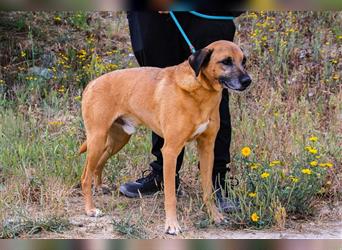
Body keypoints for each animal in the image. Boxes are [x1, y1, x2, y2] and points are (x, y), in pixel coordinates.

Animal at [79, 40, 251, 234]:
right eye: (226, 61)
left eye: (243, 61)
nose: (248, 81)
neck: (199, 91)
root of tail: (92, 83)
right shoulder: (170, 151)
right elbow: (170, 195)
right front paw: (172, 225)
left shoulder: (207, 148)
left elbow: (208, 191)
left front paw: (215, 216)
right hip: (97, 139)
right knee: (85, 176)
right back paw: (90, 209)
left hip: (117, 140)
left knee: (98, 165)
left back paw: (99, 187)